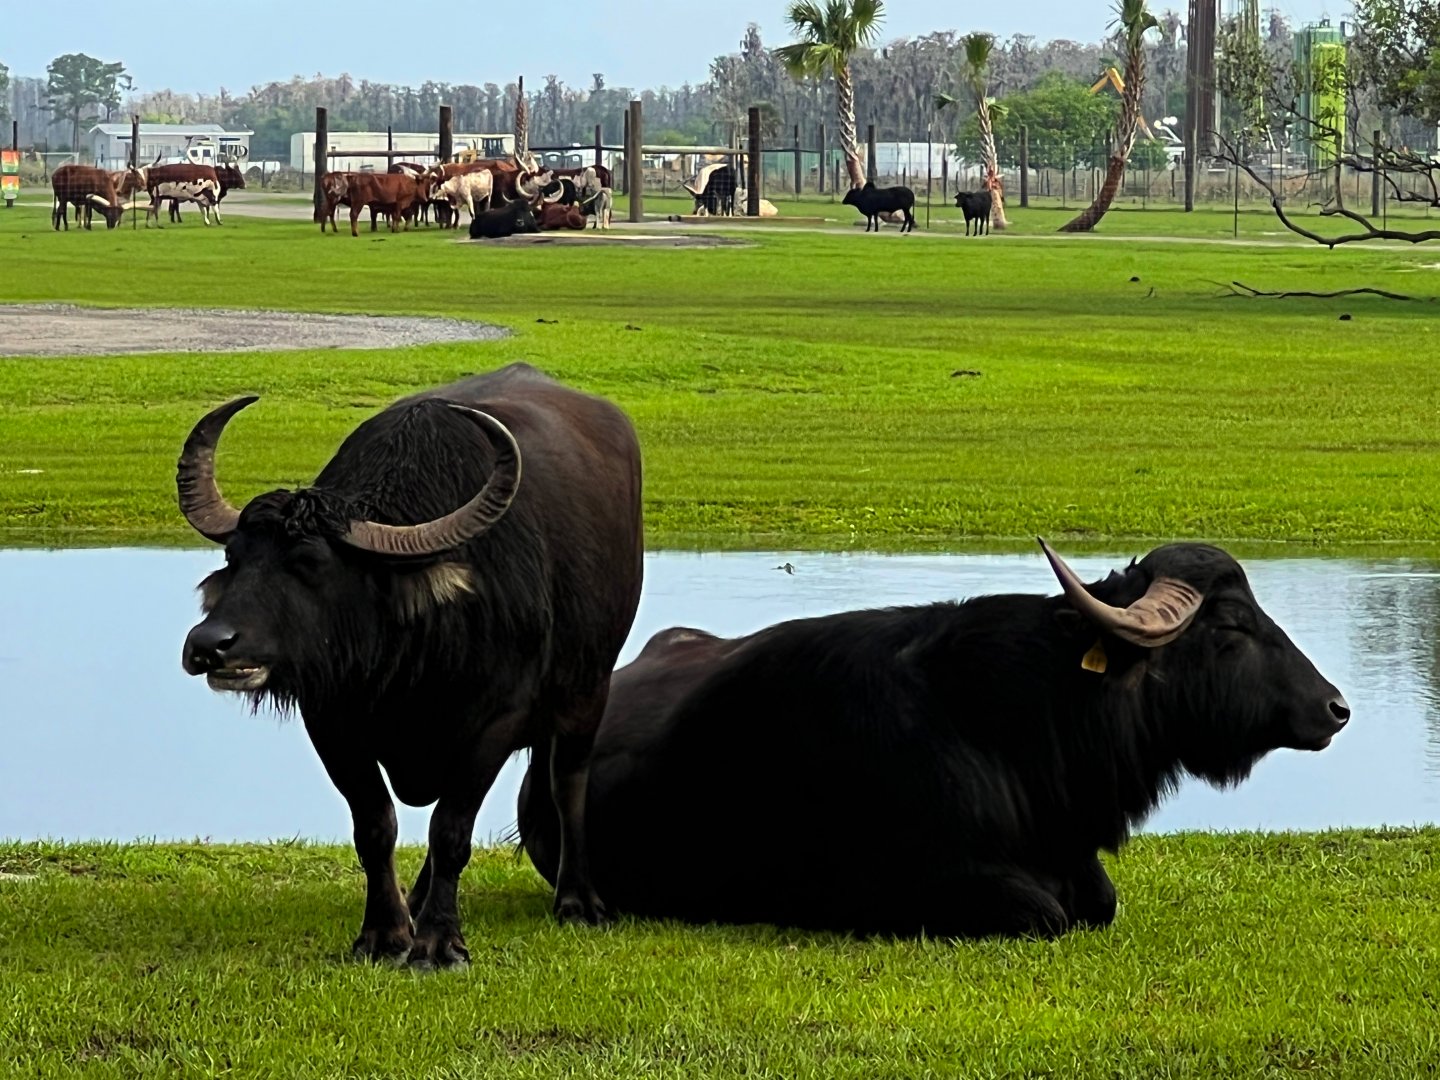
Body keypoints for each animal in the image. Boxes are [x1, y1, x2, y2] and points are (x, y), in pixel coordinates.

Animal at [179, 363, 644, 968]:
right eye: (234, 557)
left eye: (309, 563)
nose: (209, 645)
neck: (409, 662)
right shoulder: (331, 720)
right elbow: (376, 825)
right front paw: (385, 932)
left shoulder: (497, 720)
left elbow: (452, 829)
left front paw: (440, 942)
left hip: (588, 692)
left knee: (567, 782)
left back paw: (577, 899)